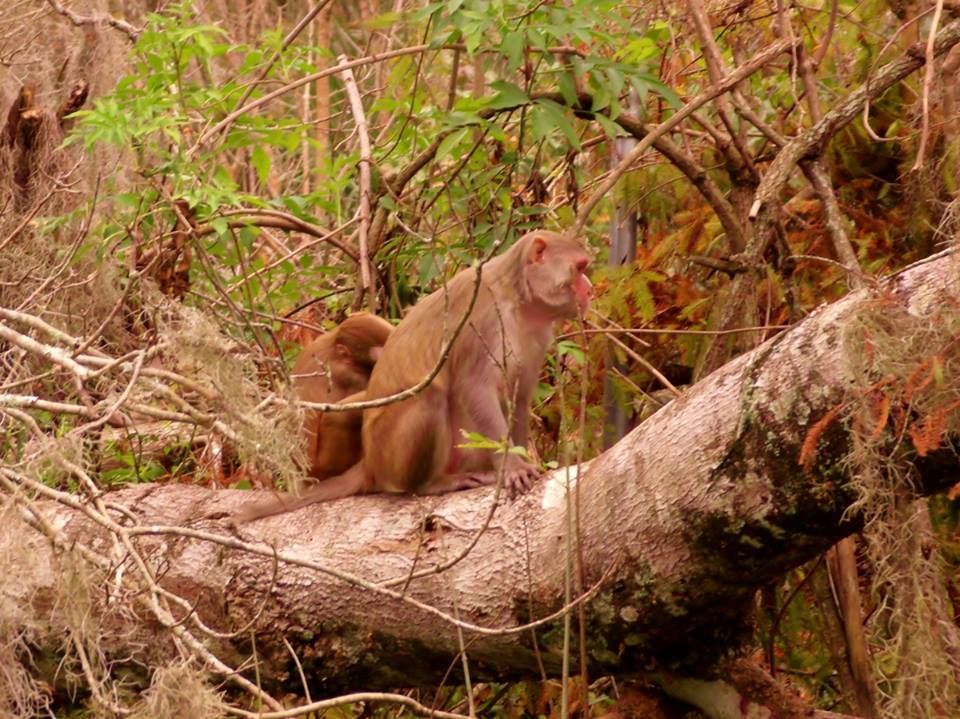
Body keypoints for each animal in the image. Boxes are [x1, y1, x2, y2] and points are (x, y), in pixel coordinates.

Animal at [235, 229, 591, 521]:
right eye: (580, 268)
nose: (588, 289)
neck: (518, 298)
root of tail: (370, 463)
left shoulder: (539, 335)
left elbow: (519, 396)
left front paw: (522, 458)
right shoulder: (484, 316)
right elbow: (474, 386)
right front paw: (511, 465)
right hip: (390, 453)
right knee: (430, 396)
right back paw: (429, 484)